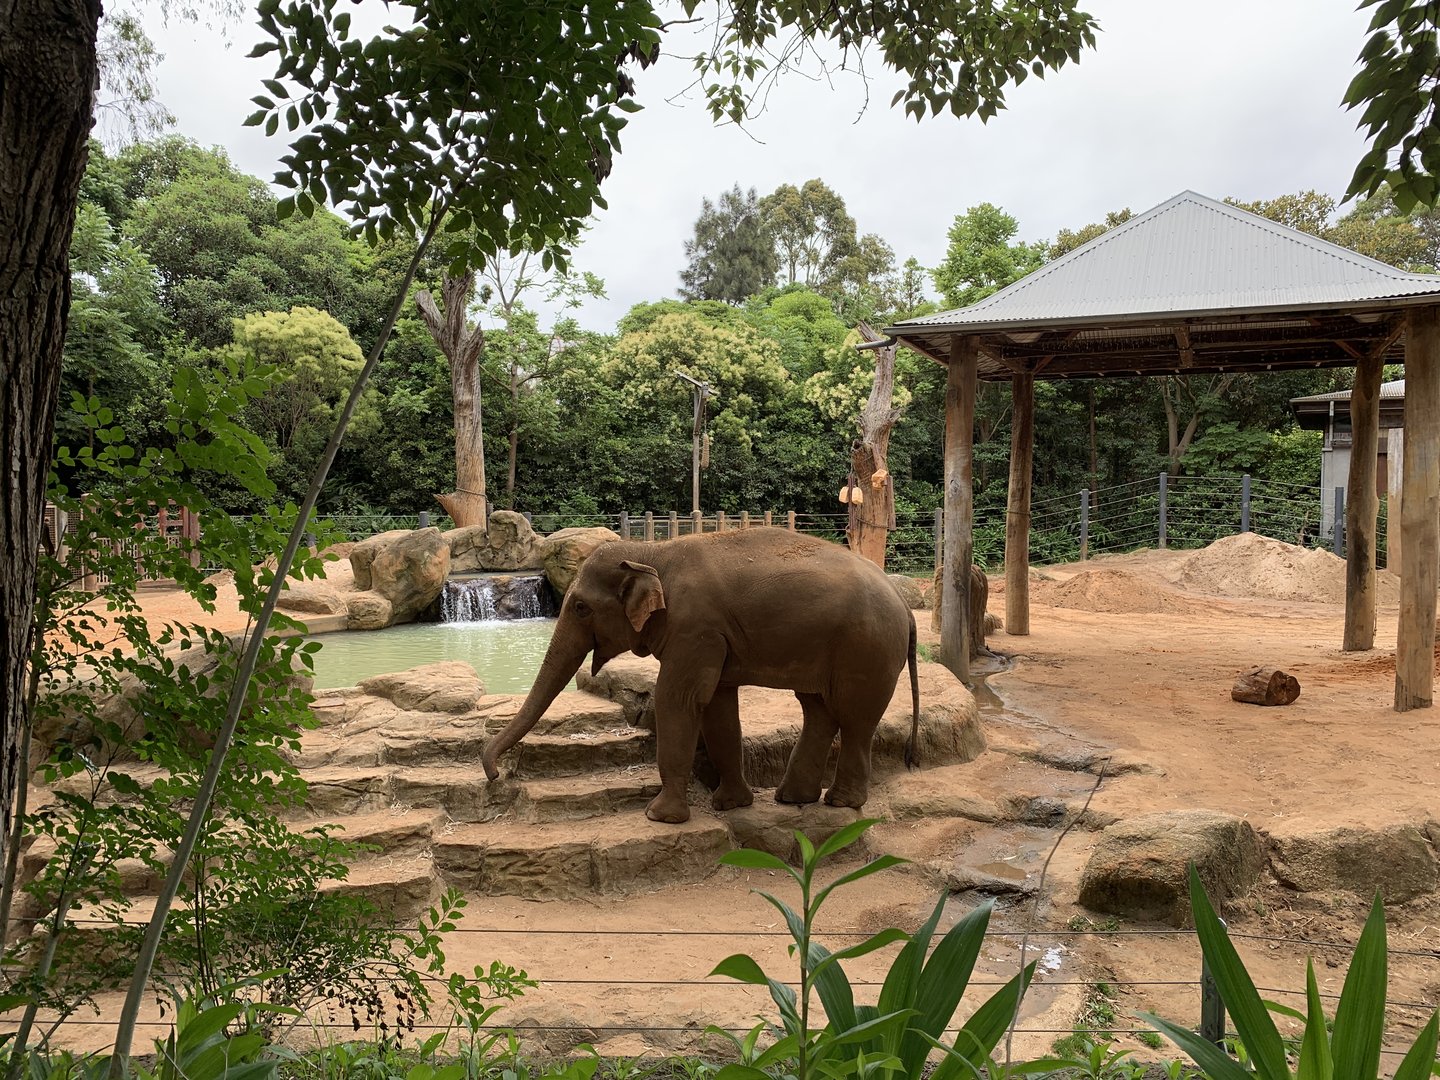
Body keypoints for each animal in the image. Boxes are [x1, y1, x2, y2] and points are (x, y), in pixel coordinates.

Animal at [480, 527, 920, 824]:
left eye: (581, 608)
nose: (494, 776)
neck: (652, 552)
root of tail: (905, 605)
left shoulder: (695, 627)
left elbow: (678, 698)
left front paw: (660, 817)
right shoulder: (713, 636)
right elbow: (716, 705)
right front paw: (730, 805)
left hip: (867, 649)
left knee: (855, 717)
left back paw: (841, 803)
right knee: (819, 709)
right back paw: (794, 798)